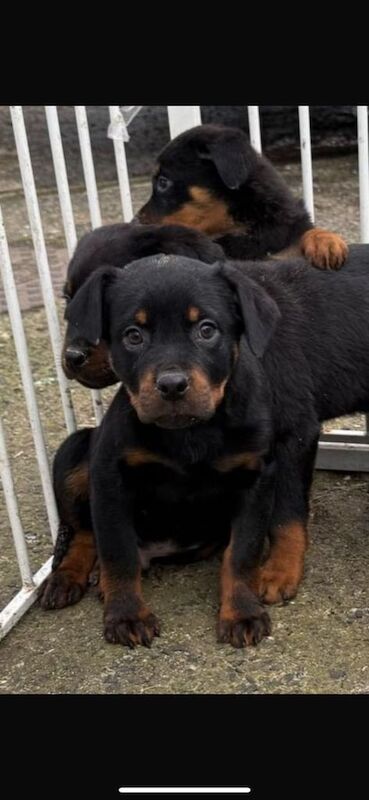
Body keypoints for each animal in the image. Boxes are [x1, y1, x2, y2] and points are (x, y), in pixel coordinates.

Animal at [41, 247, 369, 648]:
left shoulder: (289, 440)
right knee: (87, 530)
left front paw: (276, 574)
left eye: (206, 330)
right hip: (75, 452)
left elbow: (278, 522)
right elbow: (116, 548)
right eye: (132, 335)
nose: (71, 357)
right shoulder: (110, 474)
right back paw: (68, 577)